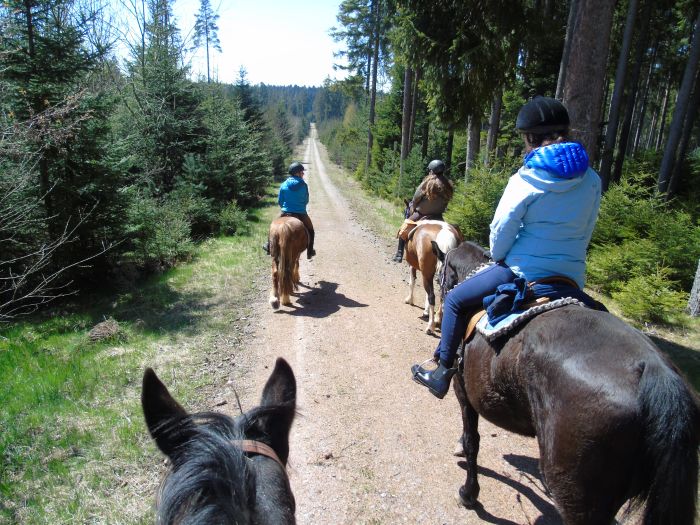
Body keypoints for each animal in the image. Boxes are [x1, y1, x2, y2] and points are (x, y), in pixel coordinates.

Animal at [434, 242, 696, 524]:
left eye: (441, 273)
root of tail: (652, 367)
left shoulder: (463, 391)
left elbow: (472, 441)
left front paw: (468, 493)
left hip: (575, 491)